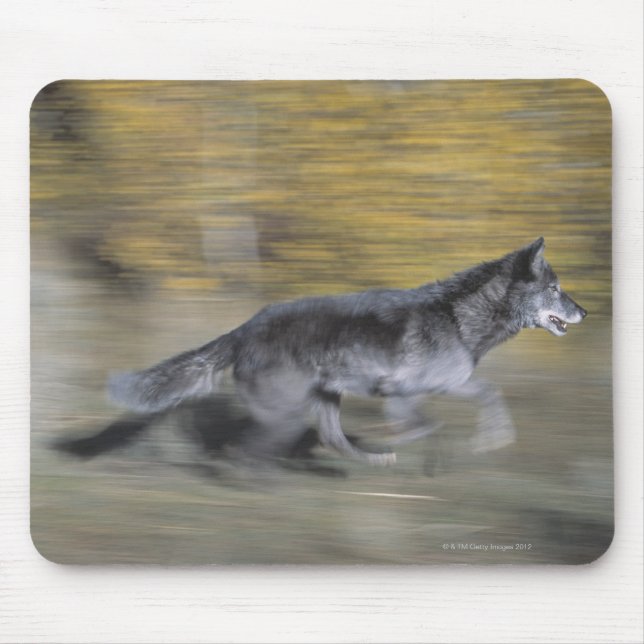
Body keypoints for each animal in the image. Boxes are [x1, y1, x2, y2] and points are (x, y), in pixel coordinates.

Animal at [109, 237, 586, 465]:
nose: (584, 311)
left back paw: (369, 460)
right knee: (247, 449)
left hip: (324, 399)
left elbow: (486, 395)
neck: (457, 317)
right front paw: (486, 440)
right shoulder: (408, 393)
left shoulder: (438, 388)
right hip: (289, 410)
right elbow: (436, 422)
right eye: (556, 289)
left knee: (330, 440)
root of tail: (242, 329)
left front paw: (487, 439)